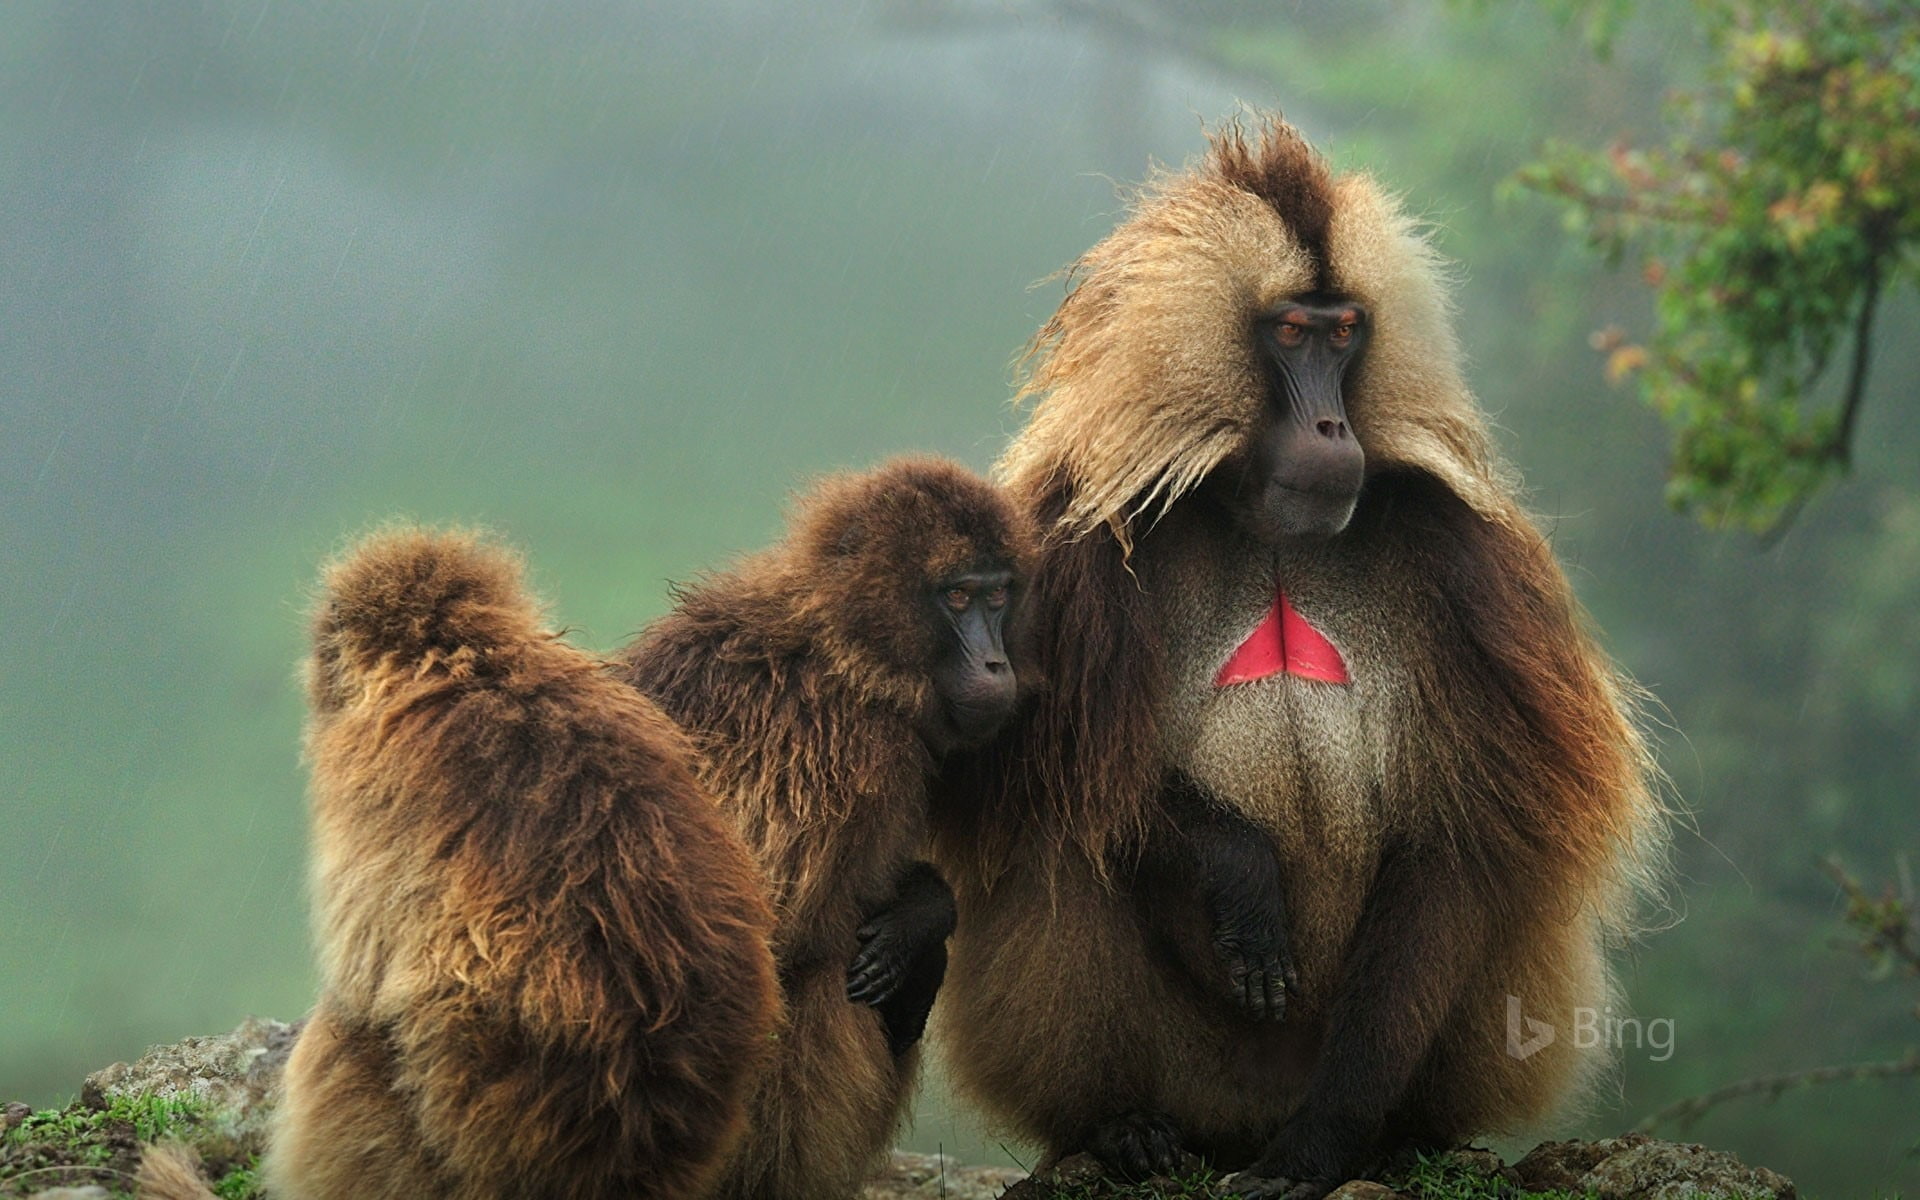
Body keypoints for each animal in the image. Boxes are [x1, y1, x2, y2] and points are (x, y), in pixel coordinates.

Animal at [614, 455, 1036, 1200]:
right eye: (957, 597)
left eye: (999, 596)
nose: (996, 665)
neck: (849, 656)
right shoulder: (843, 753)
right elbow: (762, 949)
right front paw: (922, 917)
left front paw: (924, 909)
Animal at [930, 116, 1669, 1200]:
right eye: (1289, 333)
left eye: (1345, 330)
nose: (1330, 426)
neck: (1265, 521)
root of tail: (1241, 1115)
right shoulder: (1068, 554)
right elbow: (1042, 778)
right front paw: (1241, 873)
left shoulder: (1468, 568)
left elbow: (1460, 839)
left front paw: (1328, 1142)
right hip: (1198, 1075)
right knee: (1062, 831)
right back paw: (1122, 1129)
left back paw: (1395, 1137)